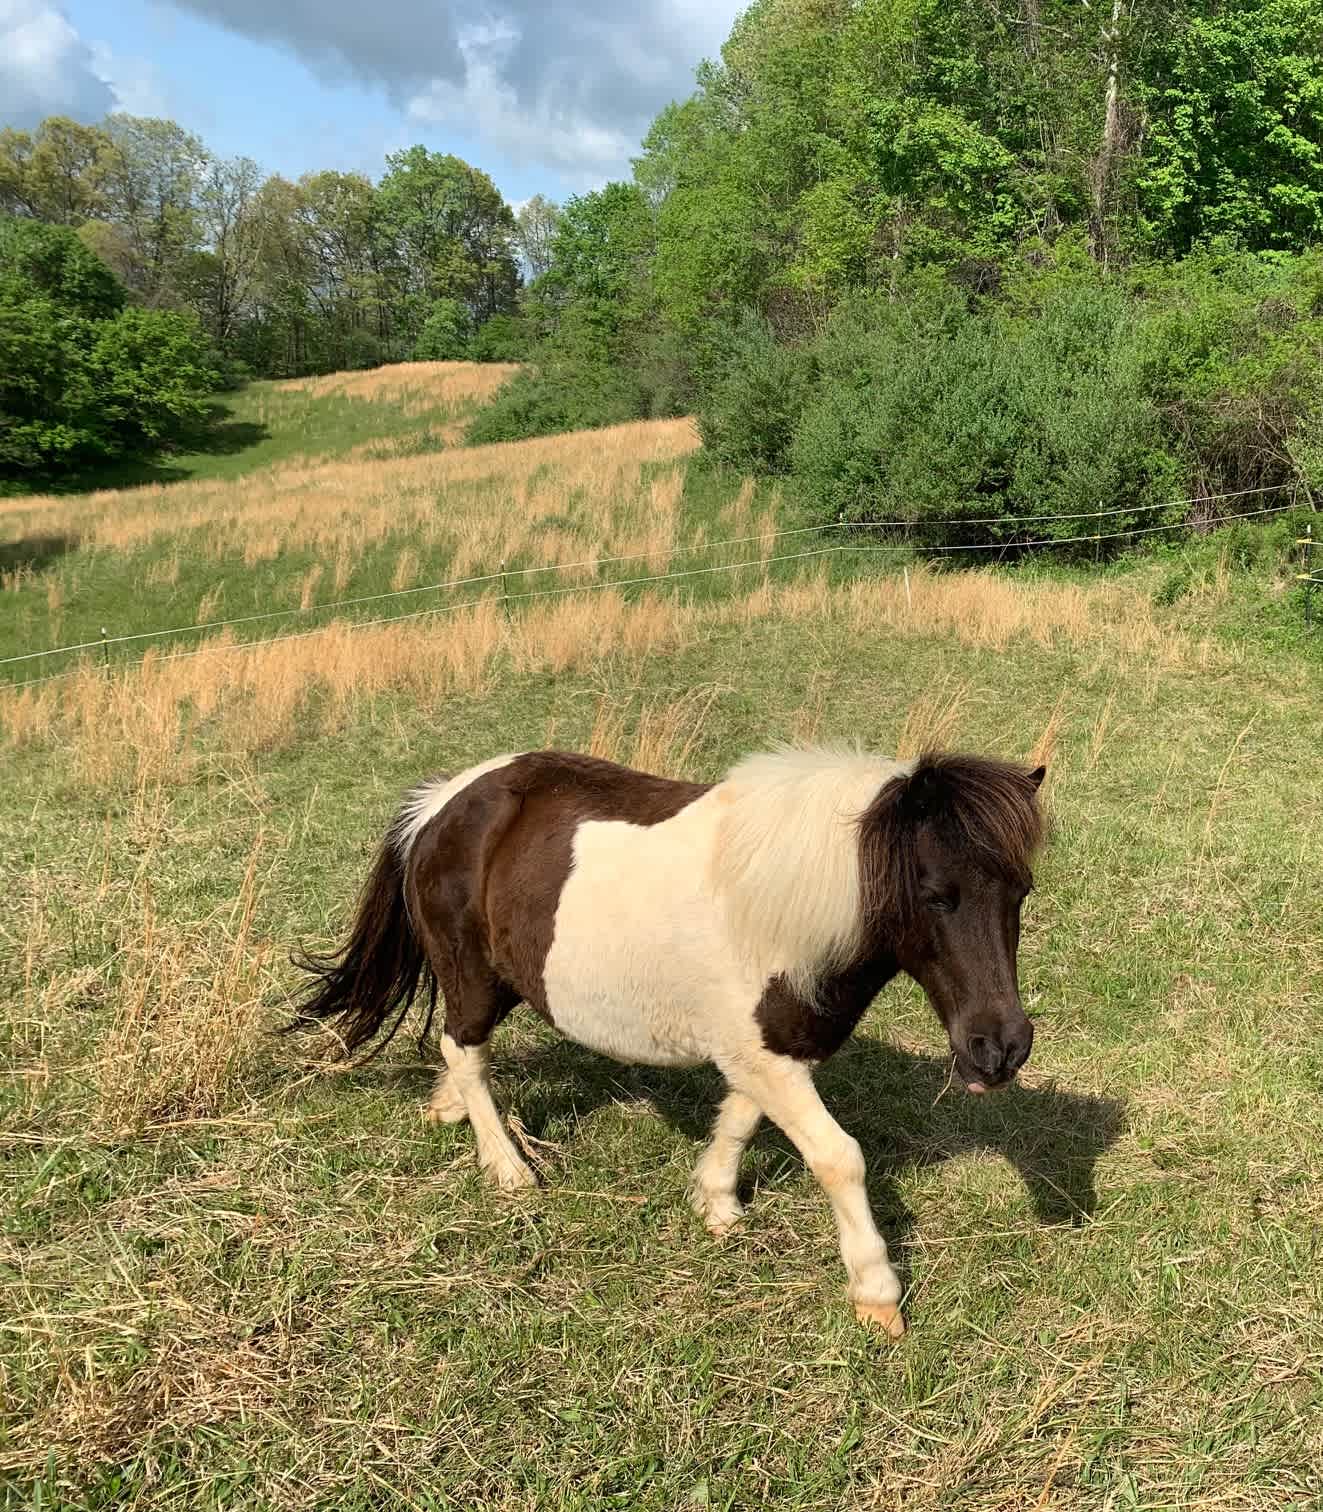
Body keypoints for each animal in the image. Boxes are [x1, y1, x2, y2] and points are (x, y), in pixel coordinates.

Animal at [292, 745, 1046, 1337]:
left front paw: (716, 1202)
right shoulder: (766, 1056)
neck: (786, 903)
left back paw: (447, 1110)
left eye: (1021, 891)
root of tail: (444, 802)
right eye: (934, 893)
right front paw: (876, 1291)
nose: (1000, 1049)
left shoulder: (766, 1049)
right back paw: (505, 1166)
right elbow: (839, 1158)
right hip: (471, 976)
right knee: (465, 1050)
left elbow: (739, 1118)